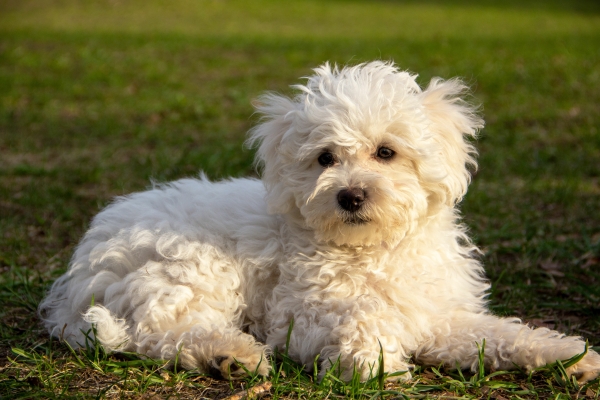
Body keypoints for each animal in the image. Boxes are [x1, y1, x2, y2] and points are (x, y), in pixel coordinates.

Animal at [38, 61, 600, 382]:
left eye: (386, 152)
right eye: (326, 158)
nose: (351, 195)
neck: (372, 249)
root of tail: (79, 275)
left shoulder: (437, 314)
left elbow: (498, 334)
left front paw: (571, 357)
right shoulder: (297, 316)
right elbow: (360, 316)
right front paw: (368, 360)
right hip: (188, 270)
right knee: (160, 334)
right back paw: (232, 355)